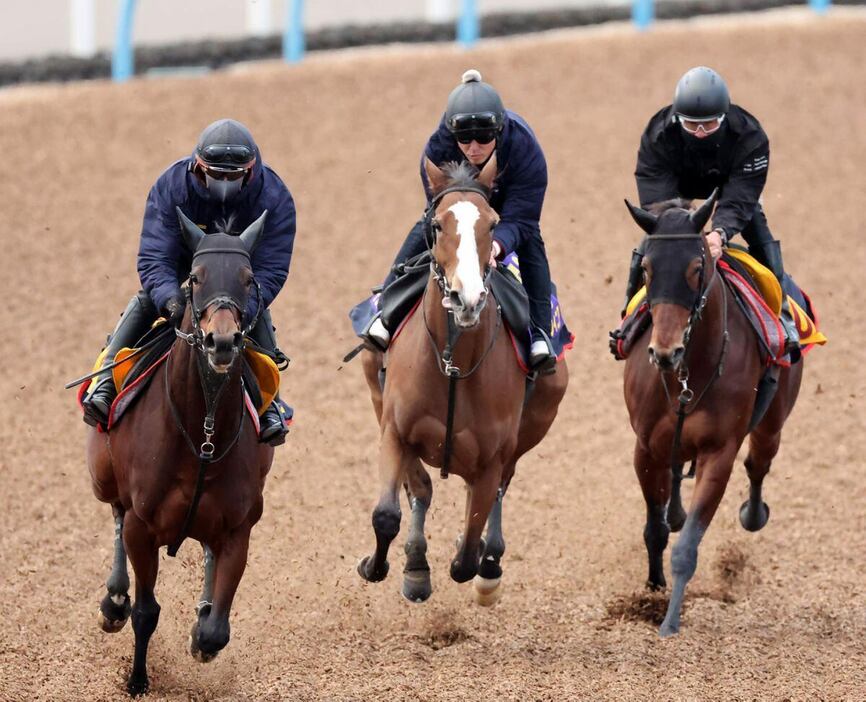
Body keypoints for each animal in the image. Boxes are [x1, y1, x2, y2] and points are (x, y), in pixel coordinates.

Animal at [84, 210, 274, 700]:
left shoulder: (239, 528)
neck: (201, 435)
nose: (221, 341)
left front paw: (202, 630)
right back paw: (113, 600)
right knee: (114, 513)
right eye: (195, 276)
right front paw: (137, 679)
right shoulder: (142, 526)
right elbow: (145, 611)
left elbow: (215, 631)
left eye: (248, 279)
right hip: (102, 476)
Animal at [356, 158, 568, 604]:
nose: (466, 298)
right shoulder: (395, 429)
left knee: (498, 494)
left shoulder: (491, 459)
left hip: (534, 423)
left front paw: (475, 561)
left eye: (493, 223)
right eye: (437, 224)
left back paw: (491, 563)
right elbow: (390, 512)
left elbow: (467, 555)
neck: (453, 366)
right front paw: (387, 566)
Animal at [620, 191, 804, 640]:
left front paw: (669, 622)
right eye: (646, 268)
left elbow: (687, 547)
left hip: (773, 421)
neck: (690, 372)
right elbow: (655, 530)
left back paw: (753, 513)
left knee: (758, 464)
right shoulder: (645, 447)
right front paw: (653, 589)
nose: (664, 351)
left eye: (696, 267)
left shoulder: (719, 453)